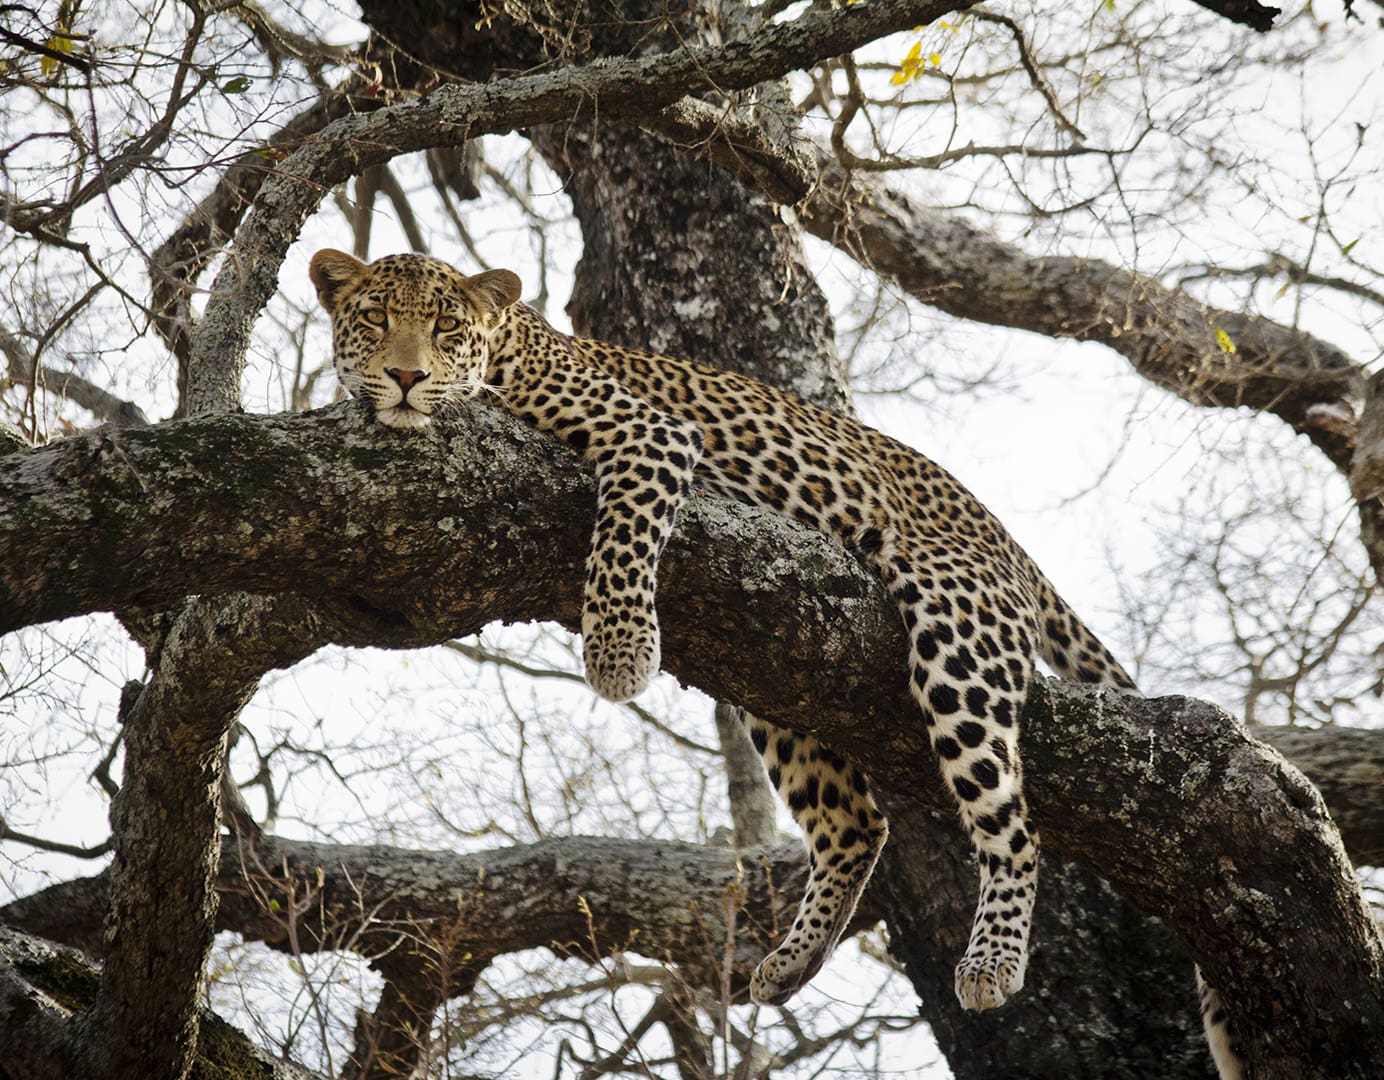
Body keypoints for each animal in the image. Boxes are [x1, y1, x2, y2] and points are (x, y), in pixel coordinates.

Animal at [308, 248, 1243, 1079]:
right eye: (376, 319)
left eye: (445, 327)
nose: (403, 377)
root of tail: (1002, 532)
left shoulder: (651, 436)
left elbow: (622, 534)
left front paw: (618, 650)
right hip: (782, 681)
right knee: (857, 822)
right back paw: (793, 960)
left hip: (956, 629)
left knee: (1012, 824)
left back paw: (992, 964)